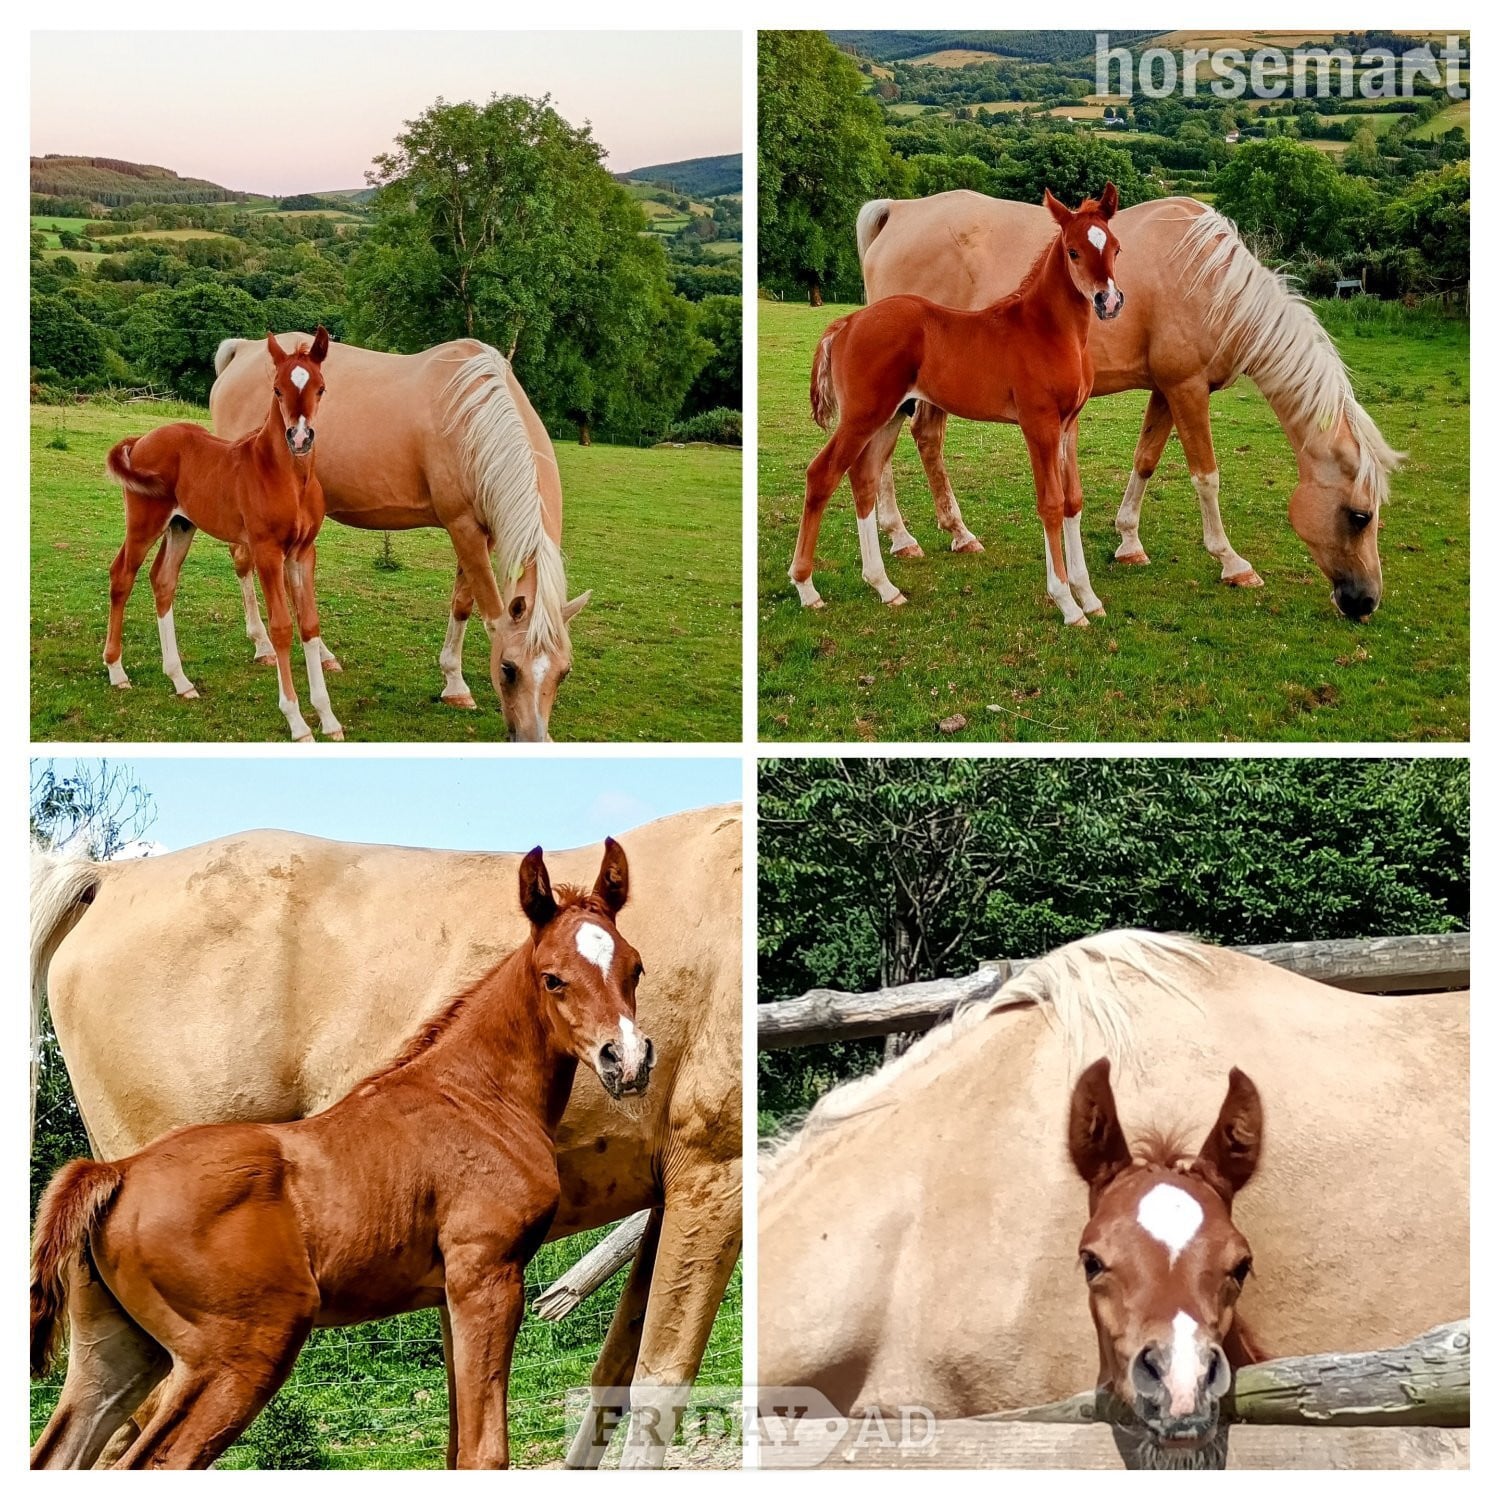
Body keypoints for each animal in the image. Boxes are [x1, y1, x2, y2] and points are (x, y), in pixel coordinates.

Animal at [30, 805, 741, 1470]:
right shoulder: (492, 1271)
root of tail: (115, 1174)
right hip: (238, 1354)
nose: (628, 1061)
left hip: (118, 1351)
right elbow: (492, 1448)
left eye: (636, 967)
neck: (471, 1096)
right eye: (553, 977)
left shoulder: (458, 1286)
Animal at [103, 329, 342, 742]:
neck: (287, 477)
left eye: (321, 387)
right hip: (144, 522)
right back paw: (117, 671)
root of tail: (140, 439)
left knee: (162, 580)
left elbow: (309, 625)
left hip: (181, 526)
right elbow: (282, 627)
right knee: (123, 576)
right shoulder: (266, 550)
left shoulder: (303, 552)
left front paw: (328, 718)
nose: (299, 438)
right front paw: (296, 721)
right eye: (277, 390)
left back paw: (180, 680)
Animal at [206, 335, 590, 742]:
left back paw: (323, 655)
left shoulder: (480, 535)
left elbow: (463, 604)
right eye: (508, 668)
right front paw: (457, 684)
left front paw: (454, 686)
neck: (474, 415)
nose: (533, 738)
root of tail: (244, 350)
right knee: (244, 564)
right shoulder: (462, 527)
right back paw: (262, 644)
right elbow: (487, 612)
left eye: (564, 672)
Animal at [792, 187, 1124, 625]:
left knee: (863, 479)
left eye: (1116, 248)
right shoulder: (1039, 424)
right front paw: (1067, 603)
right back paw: (806, 588)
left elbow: (1073, 502)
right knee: (823, 474)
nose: (1109, 300)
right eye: (1073, 251)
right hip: (862, 416)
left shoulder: (1069, 424)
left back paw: (885, 586)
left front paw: (1088, 597)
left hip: (887, 416)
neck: (1049, 331)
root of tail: (848, 322)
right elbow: (1051, 504)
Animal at [857, 192, 1400, 620]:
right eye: (1360, 516)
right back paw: (903, 538)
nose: (1366, 602)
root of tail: (899, 211)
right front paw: (1232, 562)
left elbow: (1146, 461)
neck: (1210, 280)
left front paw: (1129, 542)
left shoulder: (1165, 390)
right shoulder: (1186, 388)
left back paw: (951, 533)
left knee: (919, 441)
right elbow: (1206, 476)